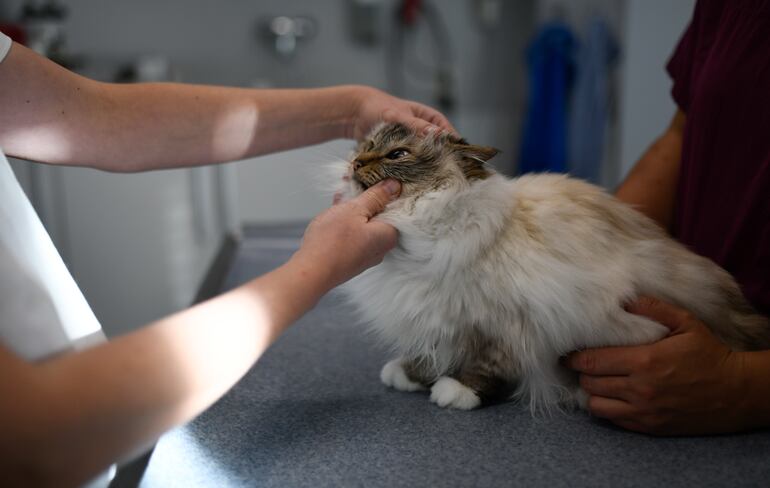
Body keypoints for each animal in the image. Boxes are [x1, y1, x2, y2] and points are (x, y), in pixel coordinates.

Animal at [332, 121, 768, 412]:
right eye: (368, 144)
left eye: (397, 155)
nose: (355, 162)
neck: (415, 230)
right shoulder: (439, 317)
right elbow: (429, 354)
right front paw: (408, 375)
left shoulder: (503, 323)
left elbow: (487, 364)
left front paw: (456, 392)